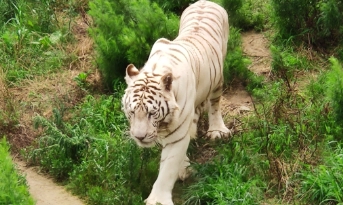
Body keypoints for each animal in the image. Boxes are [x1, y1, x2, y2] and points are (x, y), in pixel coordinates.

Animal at [121, 0, 231, 204]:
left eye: (151, 113)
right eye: (131, 112)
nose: (139, 137)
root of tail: (206, 1)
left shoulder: (177, 133)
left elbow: (167, 168)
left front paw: (157, 200)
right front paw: (184, 166)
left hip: (218, 78)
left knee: (214, 104)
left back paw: (217, 130)